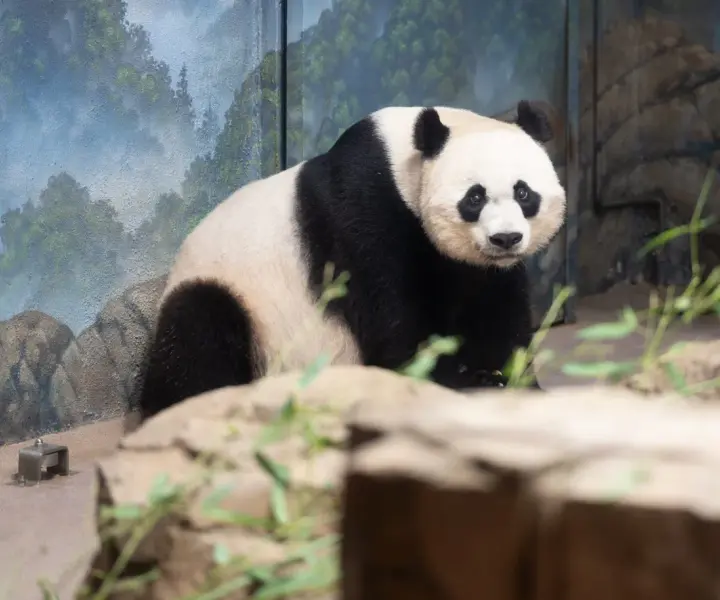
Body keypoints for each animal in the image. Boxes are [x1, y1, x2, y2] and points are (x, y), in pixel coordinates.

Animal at [137, 100, 566, 420]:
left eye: (524, 193)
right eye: (474, 198)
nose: (505, 239)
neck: (404, 162)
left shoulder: (479, 267)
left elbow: (496, 310)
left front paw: (504, 377)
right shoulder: (365, 210)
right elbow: (391, 316)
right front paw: (452, 378)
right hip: (231, 296)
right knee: (197, 333)